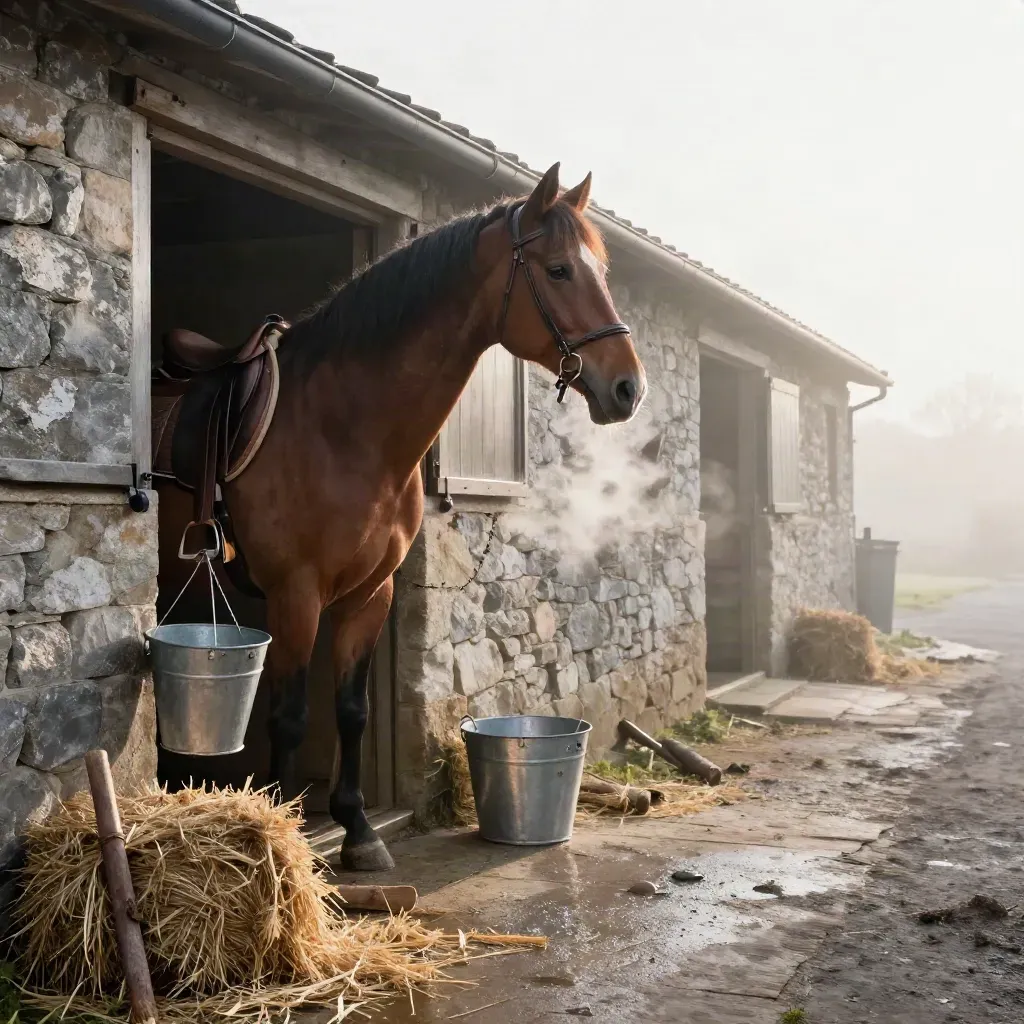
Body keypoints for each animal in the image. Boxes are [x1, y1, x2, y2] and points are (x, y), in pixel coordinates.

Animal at [153, 163, 646, 871]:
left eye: (600, 270)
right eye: (557, 270)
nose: (628, 388)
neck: (343, 428)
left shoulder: (371, 593)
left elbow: (352, 709)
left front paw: (357, 829)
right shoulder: (296, 594)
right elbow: (290, 715)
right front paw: (286, 830)